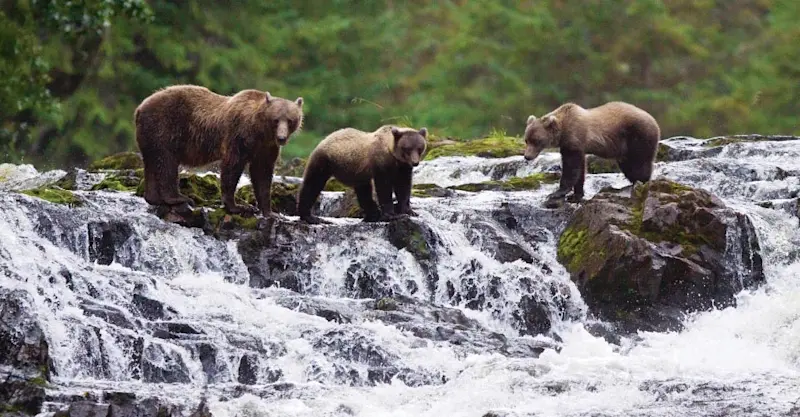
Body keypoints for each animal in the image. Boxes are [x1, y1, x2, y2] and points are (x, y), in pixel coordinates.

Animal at [134, 85, 303, 217]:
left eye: (290, 120)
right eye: (276, 120)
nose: (281, 137)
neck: (259, 131)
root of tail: (140, 107)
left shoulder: (266, 148)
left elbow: (262, 174)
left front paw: (269, 212)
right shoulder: (238, 136)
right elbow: (232, 167)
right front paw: (238, 206)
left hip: (149, 136)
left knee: (152, 162)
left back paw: (153, 198)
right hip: (164, 127)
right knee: (166, 161)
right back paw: (178, 198)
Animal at [296, 125, 428, 224]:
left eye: (419, 147)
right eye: (408, 148)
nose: (415, 162)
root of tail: (325, 139)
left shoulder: (403, 168)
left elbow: (403, 187)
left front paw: (408, 210)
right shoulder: (381, 164)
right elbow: (384, 188)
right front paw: (392, 214)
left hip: (357, 172)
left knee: (364, 192)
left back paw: (373, 215)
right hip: (326, 161)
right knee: (312, 184)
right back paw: (310, 216)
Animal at [523, 101, 660, 208]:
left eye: (536, 140)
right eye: (527, 140)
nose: (527, 156)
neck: (563, 131)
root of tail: (654, 120)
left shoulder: (574, 140)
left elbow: (571, 167)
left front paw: (556, 193)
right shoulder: (578, 147)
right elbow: (580, 169)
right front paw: (576, 195)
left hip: (638, 137)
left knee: (640, 163)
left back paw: (642, 183)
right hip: (625, 150)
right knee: (629, 166)